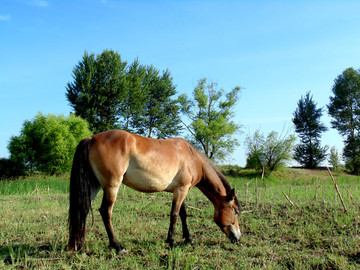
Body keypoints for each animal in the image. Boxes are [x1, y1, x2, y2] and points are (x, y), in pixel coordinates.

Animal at [68, 130, 242, 252]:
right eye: (235, 212)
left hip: (94, 185)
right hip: (112, 186)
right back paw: (117, 246)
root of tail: (92, 138)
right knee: (105, 212)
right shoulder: (181, 190)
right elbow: (174, 215)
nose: (238, 237)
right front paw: (171, 241)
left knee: (83, 210)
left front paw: (188, 238)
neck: (192, 158)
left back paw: (80, 246)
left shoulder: (181, 190)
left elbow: (183, 214)